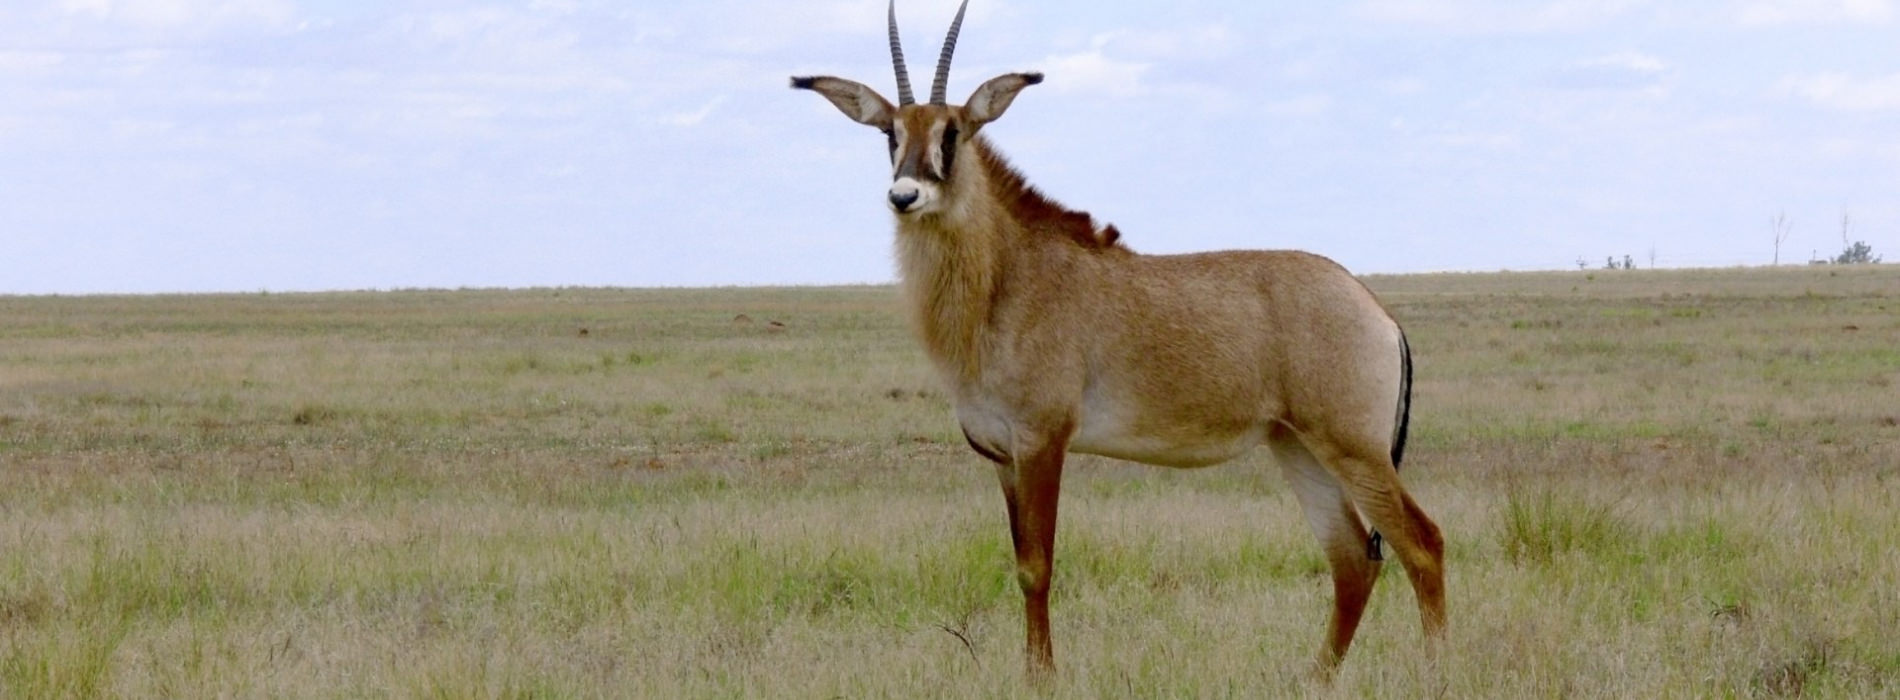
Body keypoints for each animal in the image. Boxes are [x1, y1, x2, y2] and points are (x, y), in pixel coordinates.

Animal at [791, 0, 1445, 682]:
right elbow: (1020, 563)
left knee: (1422, 543)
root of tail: (1377, 312)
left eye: (953, 132)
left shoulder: (1044, 443)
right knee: (1352, 559)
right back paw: (1312, 678)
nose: (905, 195)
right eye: (890, 133)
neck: (1006, 279)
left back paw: (1433, 672)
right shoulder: (1003, 457)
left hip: (1353, 447)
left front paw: (1042, 679)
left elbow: (1037, 568)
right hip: (1298, 446)